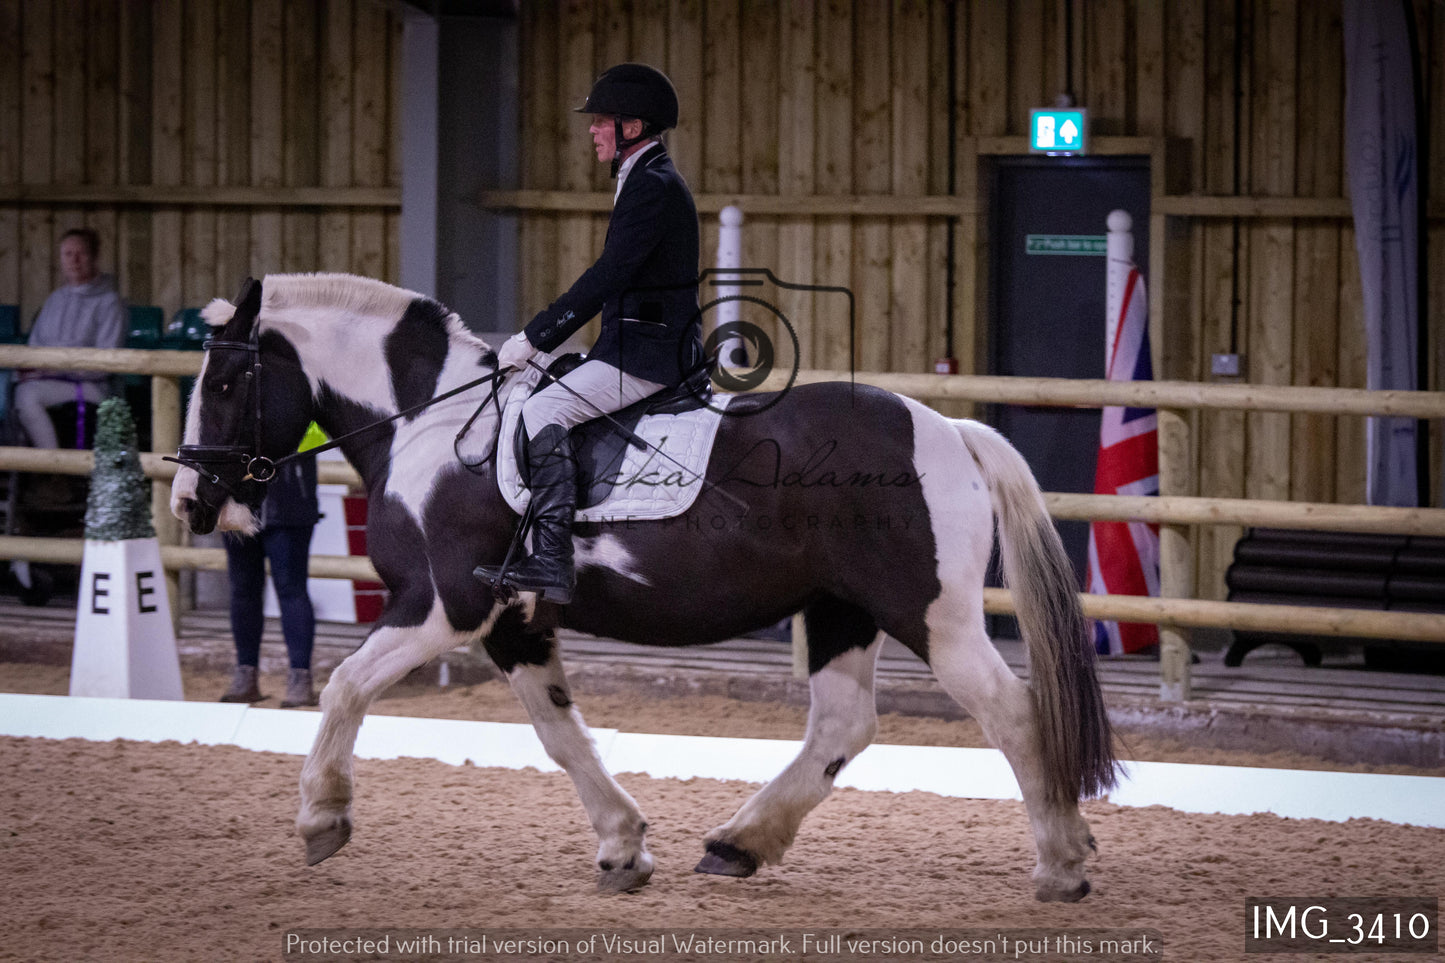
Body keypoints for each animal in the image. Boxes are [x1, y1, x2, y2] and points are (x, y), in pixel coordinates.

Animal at [169, 271, 1115, 902]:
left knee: (1013, 713)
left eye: (226, 381)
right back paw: (738, 843)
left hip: (931, 616)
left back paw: (1061, 863)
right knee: (843, 724)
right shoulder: (513, 623)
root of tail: (947, 429)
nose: (190, 500)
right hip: (841, 610)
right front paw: (623, 849)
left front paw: (322, 819)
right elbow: (561, 734)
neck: (433, 425)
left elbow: (343, 686)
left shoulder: (443, 608)